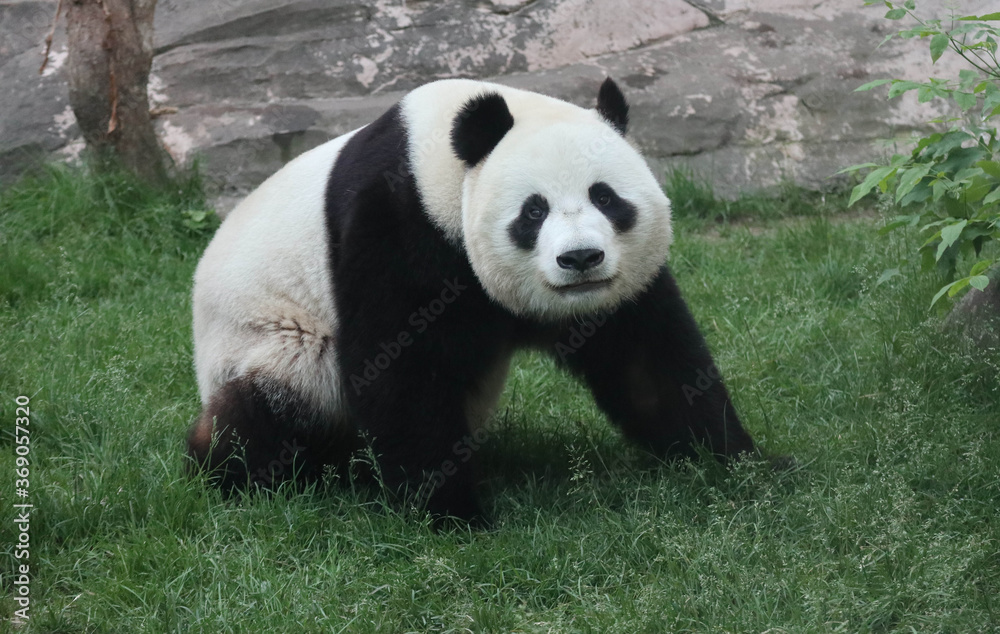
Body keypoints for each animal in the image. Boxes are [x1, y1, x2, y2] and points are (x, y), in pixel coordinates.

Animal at [188, 78, 752, 524]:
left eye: (605, 197)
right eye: (533, 211)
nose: (581, 258)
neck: (443, 161)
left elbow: (647, 360)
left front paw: (735, 463)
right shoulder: (397, 222)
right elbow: (401, 365)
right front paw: (452, 514)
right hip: (266, 336)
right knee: (282, 398)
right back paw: (237, 471)